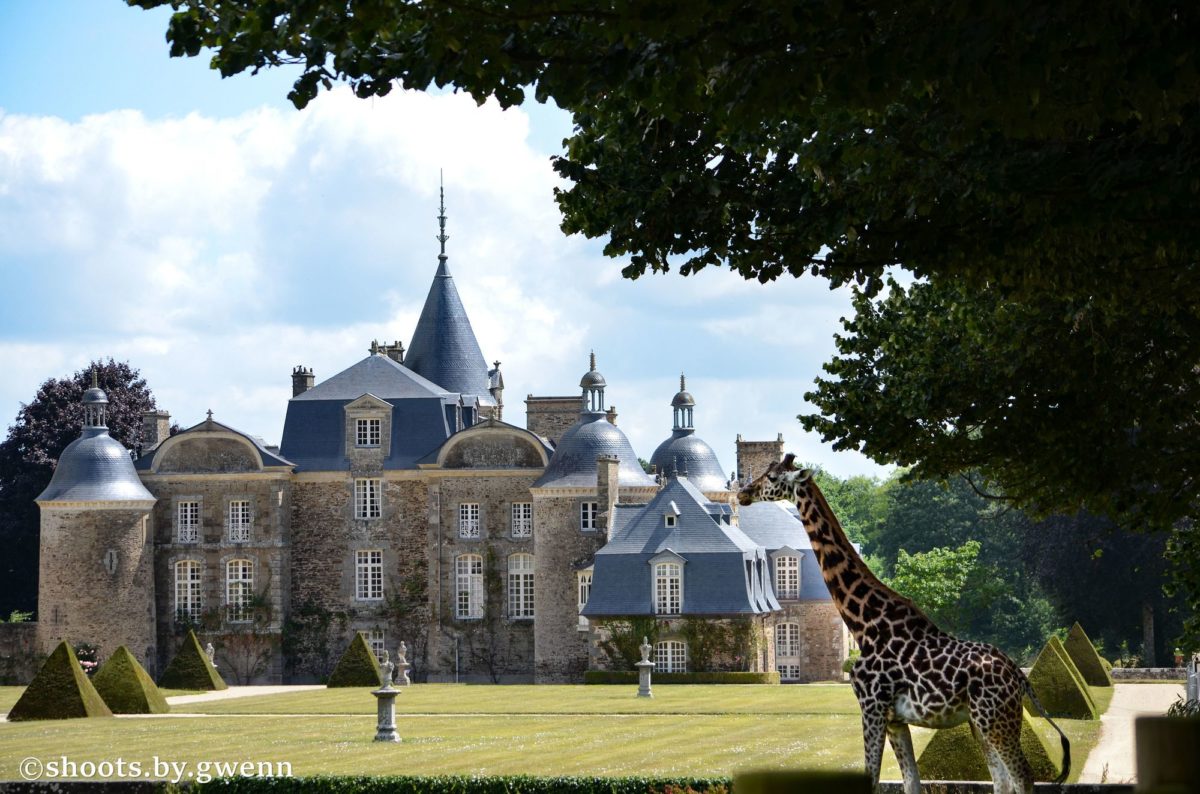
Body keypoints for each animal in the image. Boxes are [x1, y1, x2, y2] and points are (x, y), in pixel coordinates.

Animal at [738, 454, 1069, 794]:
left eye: (773, 476)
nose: (743, 492)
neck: (865, 623)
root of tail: (1019, 676)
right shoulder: (896, 719)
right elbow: (912, 782)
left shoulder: (871, 706)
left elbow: (872, 779)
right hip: (980, 721)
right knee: (1001, 780)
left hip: (995, 717)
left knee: (1023, 776)